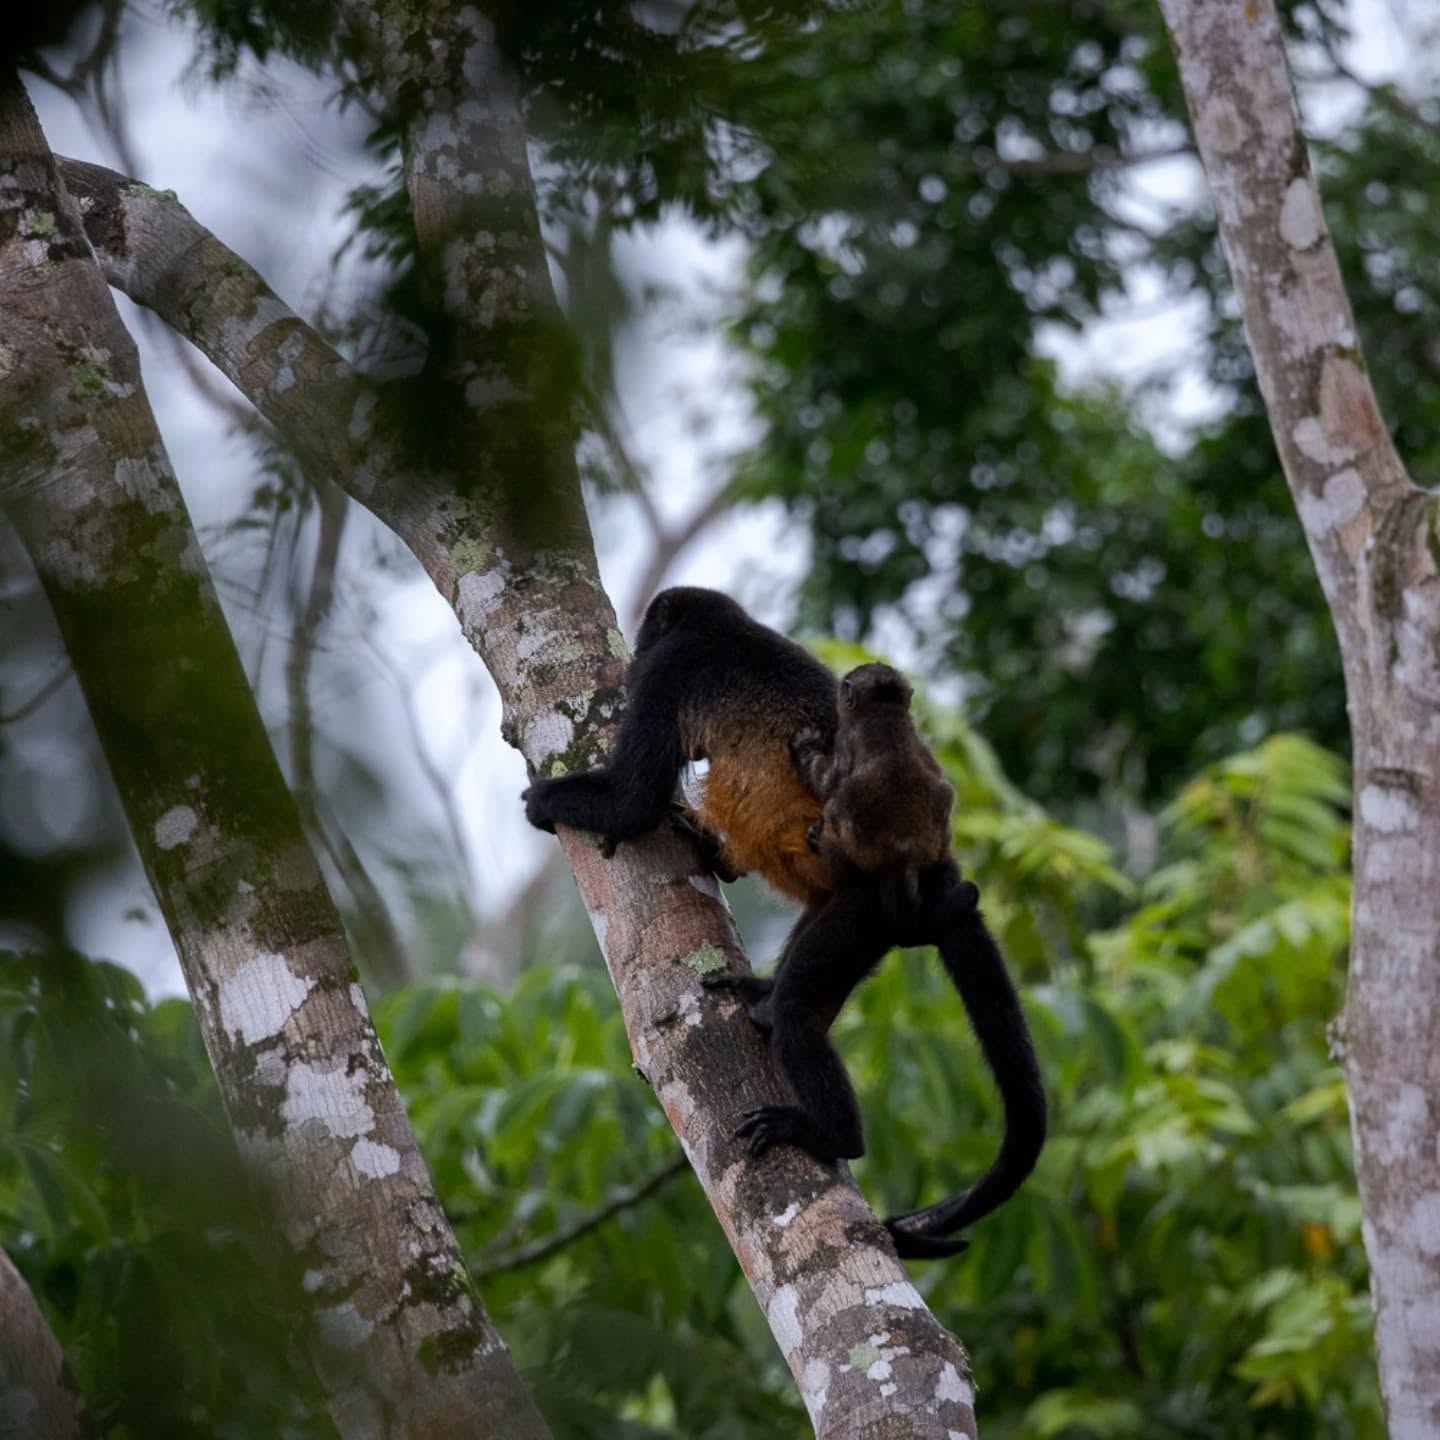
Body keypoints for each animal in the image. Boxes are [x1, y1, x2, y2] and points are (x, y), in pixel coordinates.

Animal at [523, 586, 1046, 1257]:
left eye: (643, 645)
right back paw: (763, 995)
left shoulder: (669, 675)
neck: (721, 627)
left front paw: (545, 802)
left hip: (861, 911)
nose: (630, 662)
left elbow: (633, 798)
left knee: (800, 1010)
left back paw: (831, 1133)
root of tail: (936, 871)